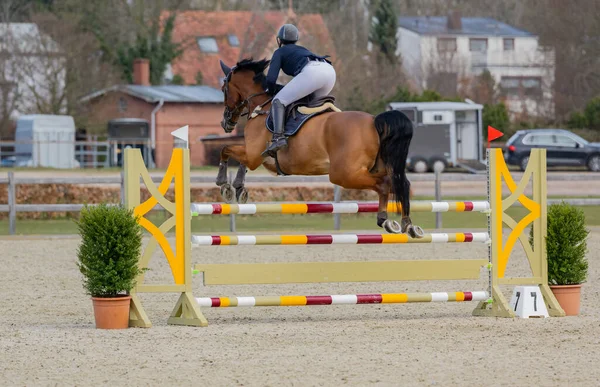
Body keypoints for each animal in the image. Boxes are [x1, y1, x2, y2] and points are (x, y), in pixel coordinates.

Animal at [214, 58, 422, 238]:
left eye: (224, 89)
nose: (226, 123)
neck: (262, 108)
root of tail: (373, 121)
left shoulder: (254, 156)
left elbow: (225, 149)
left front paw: (225, 185)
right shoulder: (254, 156)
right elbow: (239, 160)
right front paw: (239, 187)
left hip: (344, 174)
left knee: (384, 184)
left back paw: (386, 220)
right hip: (373, 167)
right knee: (400, 183)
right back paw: (406, 224)